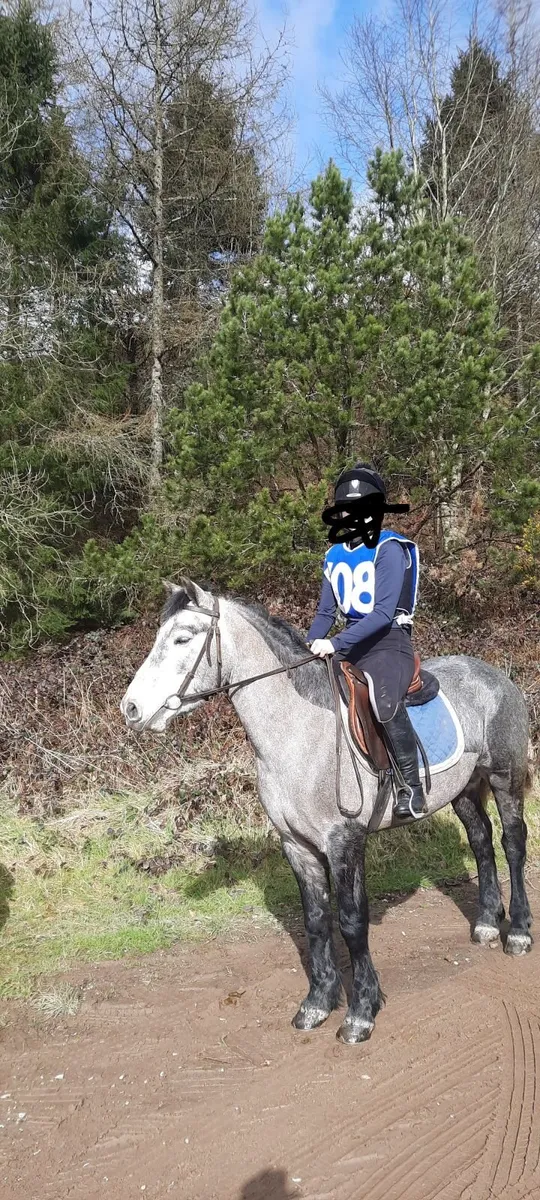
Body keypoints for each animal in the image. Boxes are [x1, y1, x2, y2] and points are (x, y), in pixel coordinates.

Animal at [121, 578, 533, 1044]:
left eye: (183, 638)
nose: (131, 708)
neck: (296, 733)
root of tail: (495, 676)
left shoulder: (344, 842)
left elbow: (352, 921)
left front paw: (361, 1012)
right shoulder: (296, 846)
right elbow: (316, 920)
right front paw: (317, 1003)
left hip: (504, 780)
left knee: (512, 844)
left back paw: (518, 931)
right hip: (462, 790)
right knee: (481, 841)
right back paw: (486, 923)